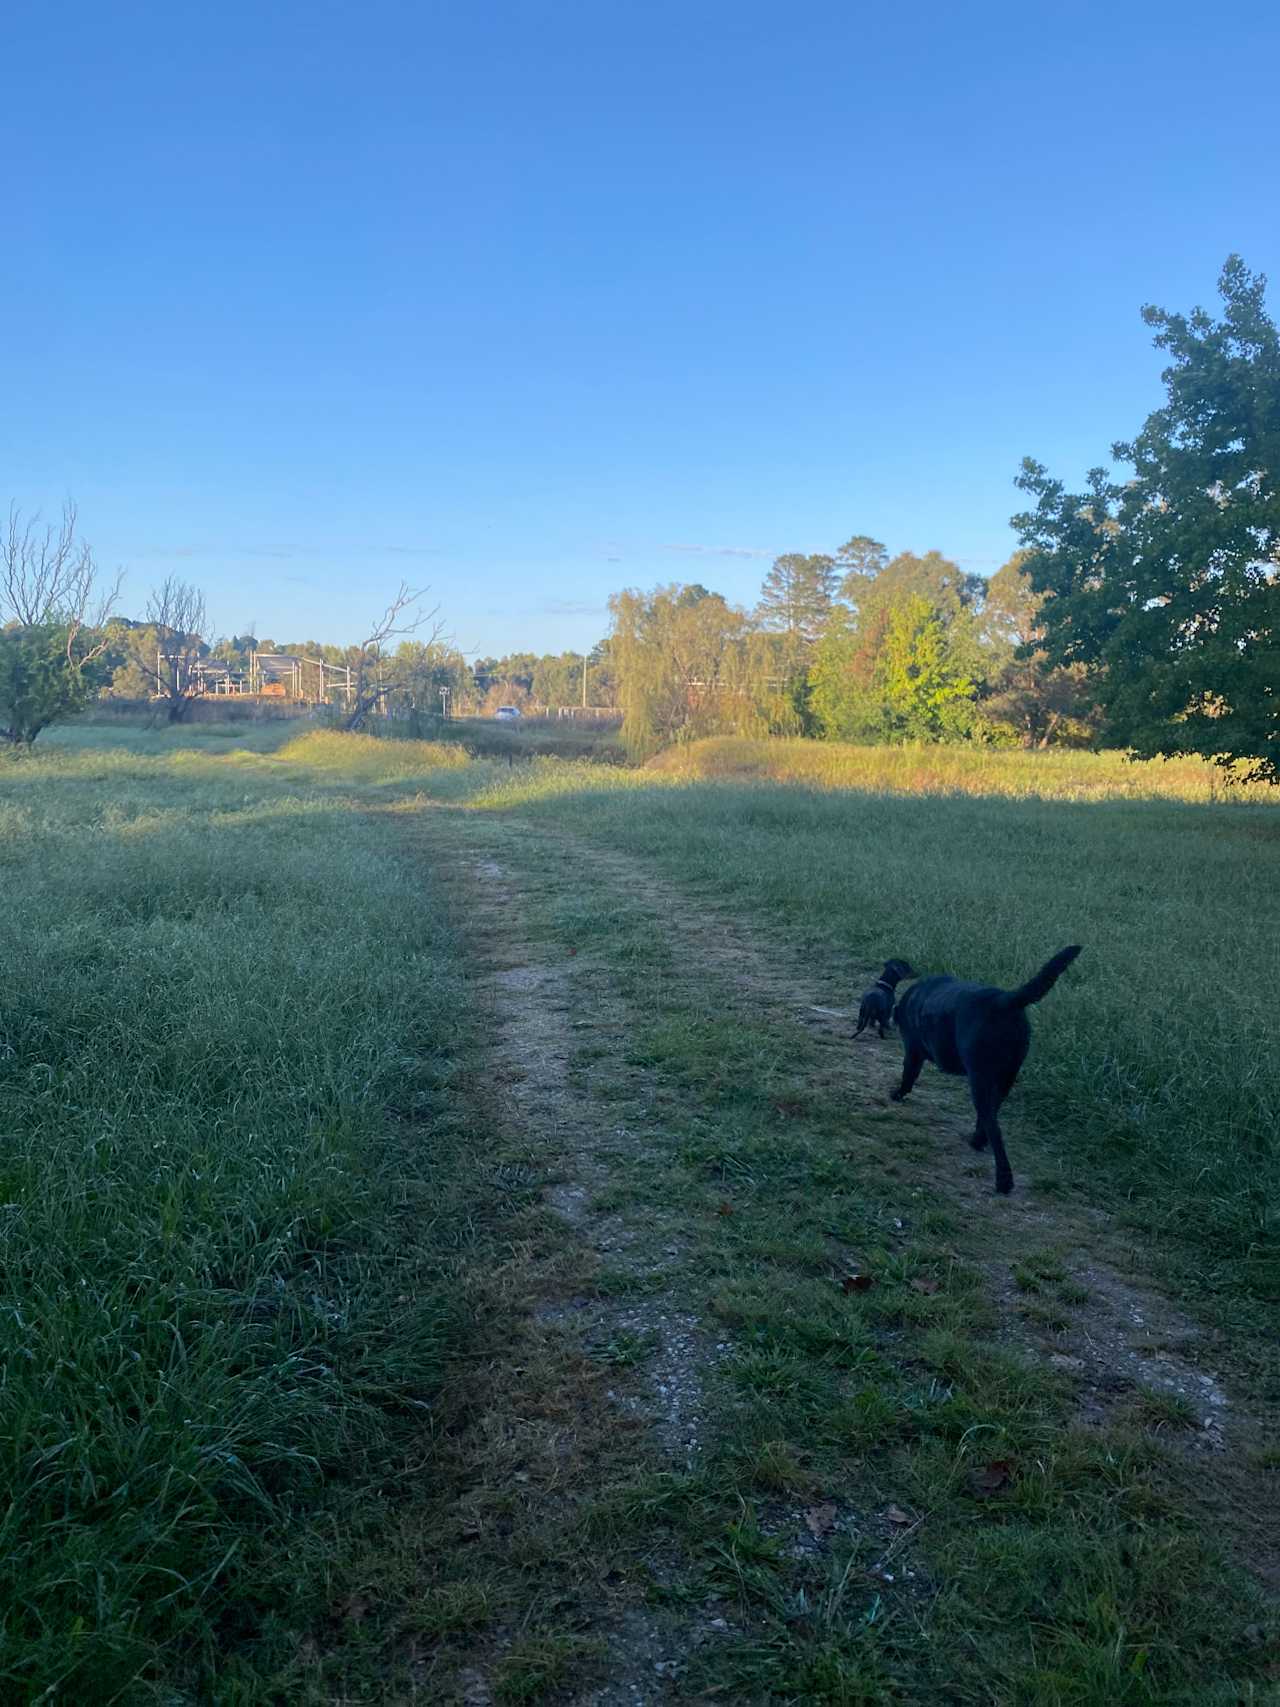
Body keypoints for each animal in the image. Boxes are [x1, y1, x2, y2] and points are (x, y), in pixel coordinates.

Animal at [894, 949, 1085, 1201]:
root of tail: (1004, 1000)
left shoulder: (913, 1050)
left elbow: (908, 1076)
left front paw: (897, 1094)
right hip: (1004, 1078)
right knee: (988, 1116)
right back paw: (978, 1141)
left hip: (980, 1077)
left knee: (993, 1126)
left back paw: (1003, 1181)